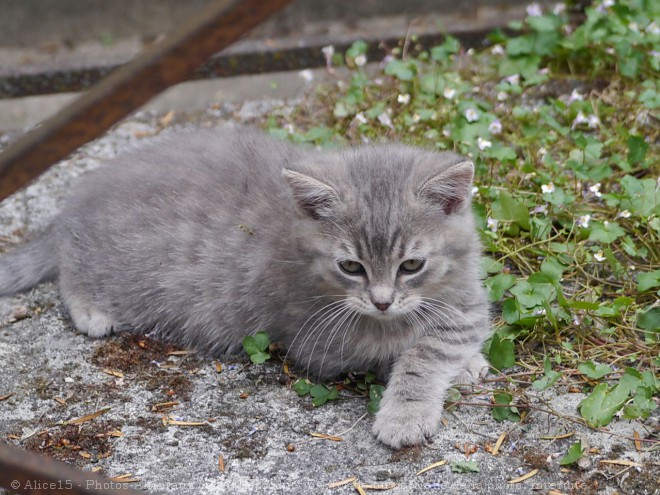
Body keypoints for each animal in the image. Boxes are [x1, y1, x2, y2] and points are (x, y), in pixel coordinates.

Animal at [0, 125, 490, 450]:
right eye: (351, 266)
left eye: (412, 265)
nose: (383, 302)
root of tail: (75, 203)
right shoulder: (319, 339)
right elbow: (412, 352)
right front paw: (407, 411)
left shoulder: (469, 303)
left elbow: (443, 340)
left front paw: (467, 362)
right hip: (108, 266)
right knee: (69, 266)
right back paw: (91, 310)